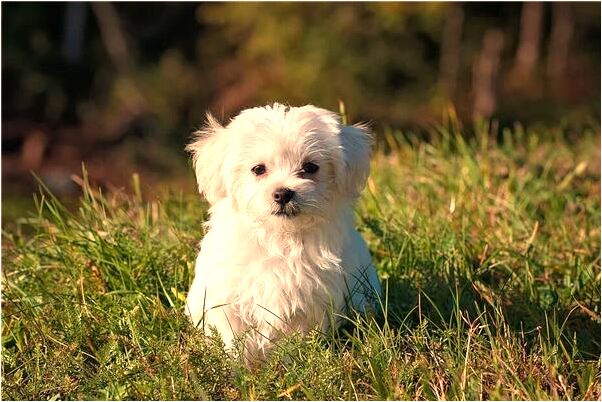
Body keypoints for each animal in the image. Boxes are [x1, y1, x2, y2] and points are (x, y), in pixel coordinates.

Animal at [184, 103, 380, 362]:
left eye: (310, 167)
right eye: (258, 169)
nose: (283, 193)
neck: (280, 237)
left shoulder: (312, 300)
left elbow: (298, 337)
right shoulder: (226, 296)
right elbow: (233, 338)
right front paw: (238, 366)